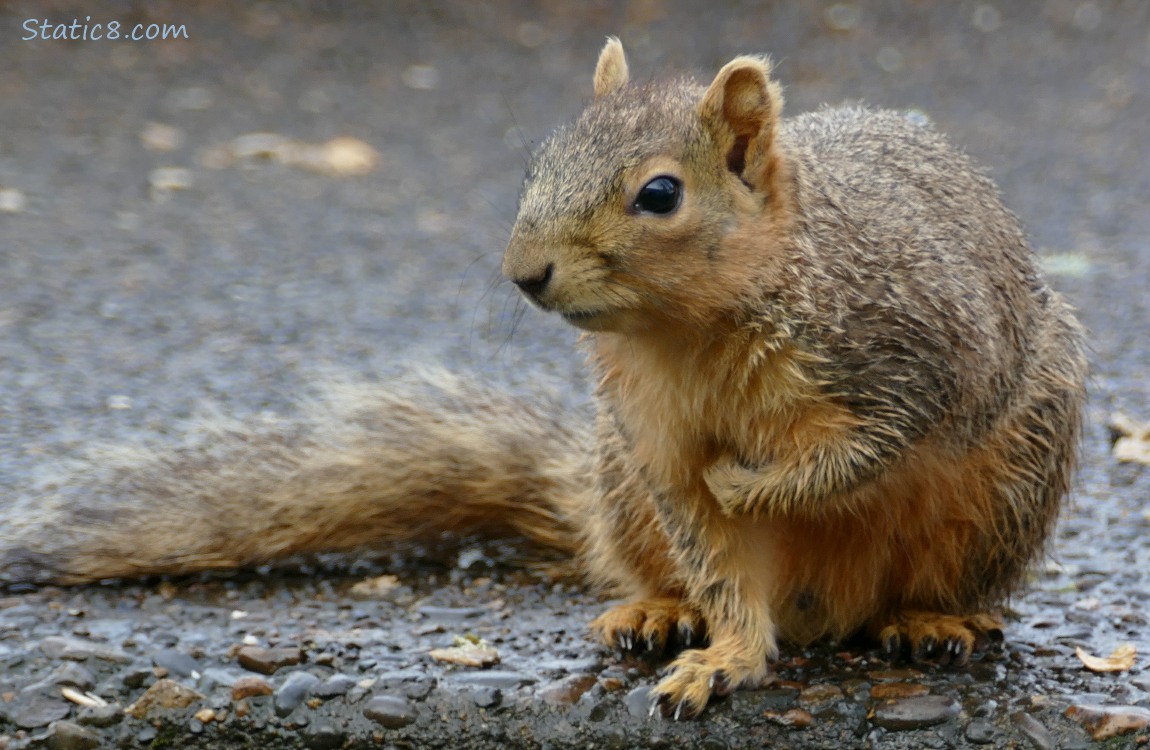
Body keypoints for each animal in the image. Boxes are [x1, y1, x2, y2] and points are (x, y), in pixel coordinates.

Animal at [4, 37, 1085, 717]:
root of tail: (834, 608)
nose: (523, 272)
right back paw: (662, 613)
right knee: (675, 569)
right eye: (538, 166)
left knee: (946, 579)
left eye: (660, 194)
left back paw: (932, 620)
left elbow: (855, 455)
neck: (692, 332)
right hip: (621, 486)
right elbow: (720, 555)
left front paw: (749, 480)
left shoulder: (910, 360)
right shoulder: (651, 441)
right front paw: (725, 657)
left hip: (1005, 488)